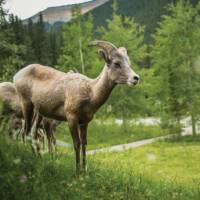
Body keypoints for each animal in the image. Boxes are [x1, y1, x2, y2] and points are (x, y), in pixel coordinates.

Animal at [13, 40, 139, 172]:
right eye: (116, 63)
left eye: (128, 63)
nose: (135, 78)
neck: (90, 92)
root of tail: (17, 75)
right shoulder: (71, 118)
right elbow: (76, 143)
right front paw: (77, 171)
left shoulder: (84, 123)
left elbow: (84, 143)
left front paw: (84, 170)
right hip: (27, 105)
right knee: (26, 132)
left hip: (38, 113)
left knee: (32, 133)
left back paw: (38, 157)